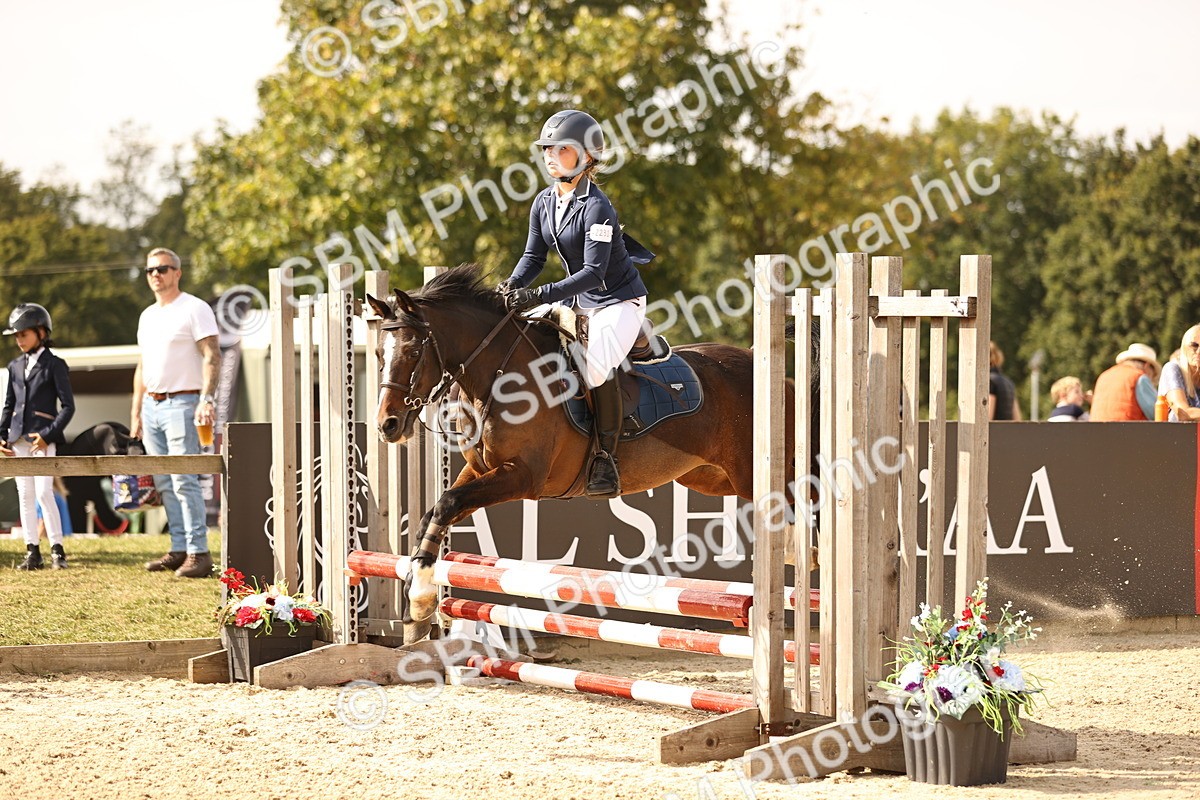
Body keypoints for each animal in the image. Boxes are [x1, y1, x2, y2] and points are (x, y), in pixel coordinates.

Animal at [367, 264, 805, 640]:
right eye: (378, 354)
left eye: (413, 351)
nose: (387, 425)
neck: (498, 375)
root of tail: (770, 370)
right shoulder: (479, 470)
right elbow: (436, 512)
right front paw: (418, 603)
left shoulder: (522, 476)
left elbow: (447, 504)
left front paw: (418, 599)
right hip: (713, 478)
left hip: (754, 475)